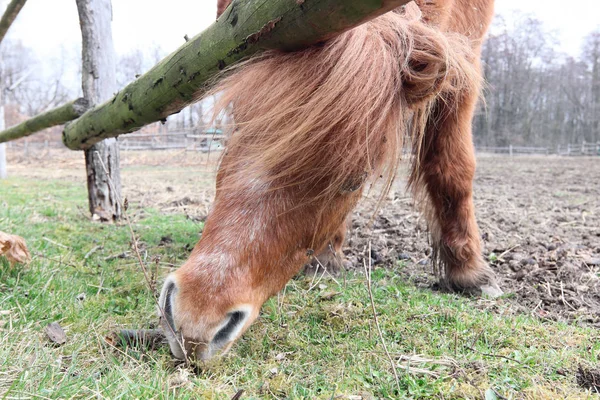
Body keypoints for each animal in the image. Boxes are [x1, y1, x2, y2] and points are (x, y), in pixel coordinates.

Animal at [159, 0, 502, 360]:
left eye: (354, 181)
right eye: (236, 132)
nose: (194, 321)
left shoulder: (466, 63)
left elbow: (452, 168)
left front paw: (469, 272)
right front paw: (326, 258)